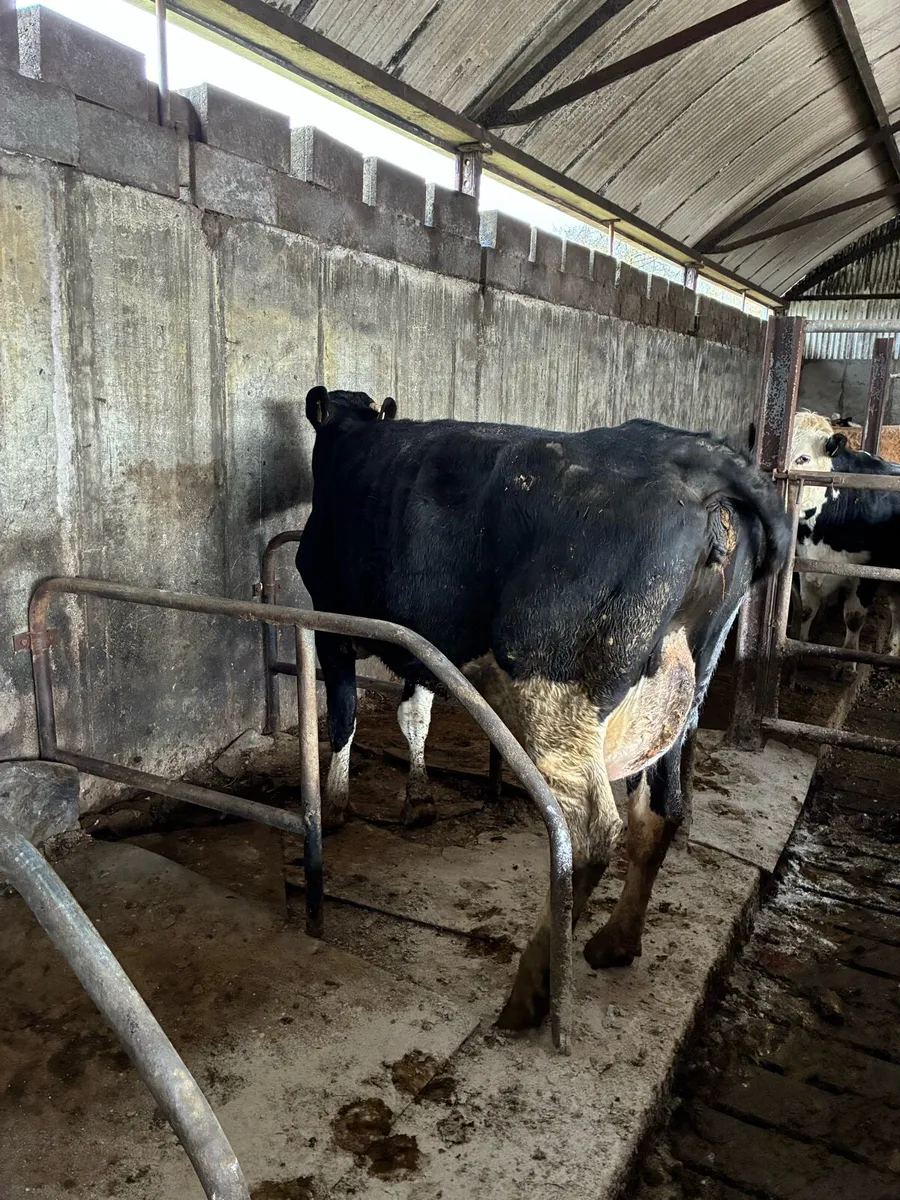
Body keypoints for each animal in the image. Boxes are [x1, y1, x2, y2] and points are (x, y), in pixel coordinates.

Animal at [298, 387, 789, 1029]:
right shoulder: (421, 643)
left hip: (557, 689)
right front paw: (419, 800)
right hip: (683, 692)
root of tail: (695, 453)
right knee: (659, 811)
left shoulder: (330, 619)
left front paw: (333, 805)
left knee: (589, 833)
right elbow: (414, 718)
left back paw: (532, 987)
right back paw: (615, 941)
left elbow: (344, 716)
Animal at [791, 410, 900, 665]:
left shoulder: (870, 573)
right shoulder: (805, 564)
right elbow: (806, 611)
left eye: (803, 459)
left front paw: (848, 663)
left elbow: (853, 618)